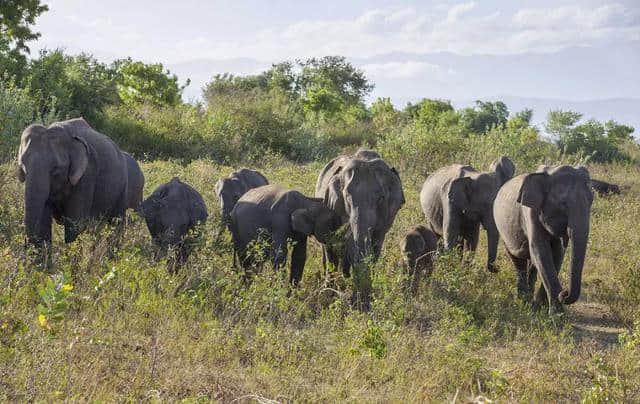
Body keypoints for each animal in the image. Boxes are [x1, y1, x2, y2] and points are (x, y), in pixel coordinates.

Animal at [16, 117, 129, 249]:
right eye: (23, 165)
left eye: (56, 169)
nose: (25, 244)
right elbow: (43, 222)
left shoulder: (87, 174)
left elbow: (75, 223)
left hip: (122, 186)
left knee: (116, 222)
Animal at [496, 164, 596, 312]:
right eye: (563, 203)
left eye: (591, 201)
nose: (564, 293)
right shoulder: (531, 212)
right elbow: (541, 250)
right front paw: (557, 314)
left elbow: (557, 253)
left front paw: (541, 308)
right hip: (504, 231)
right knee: (518, 262)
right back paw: (523, 300)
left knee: (532, 265)